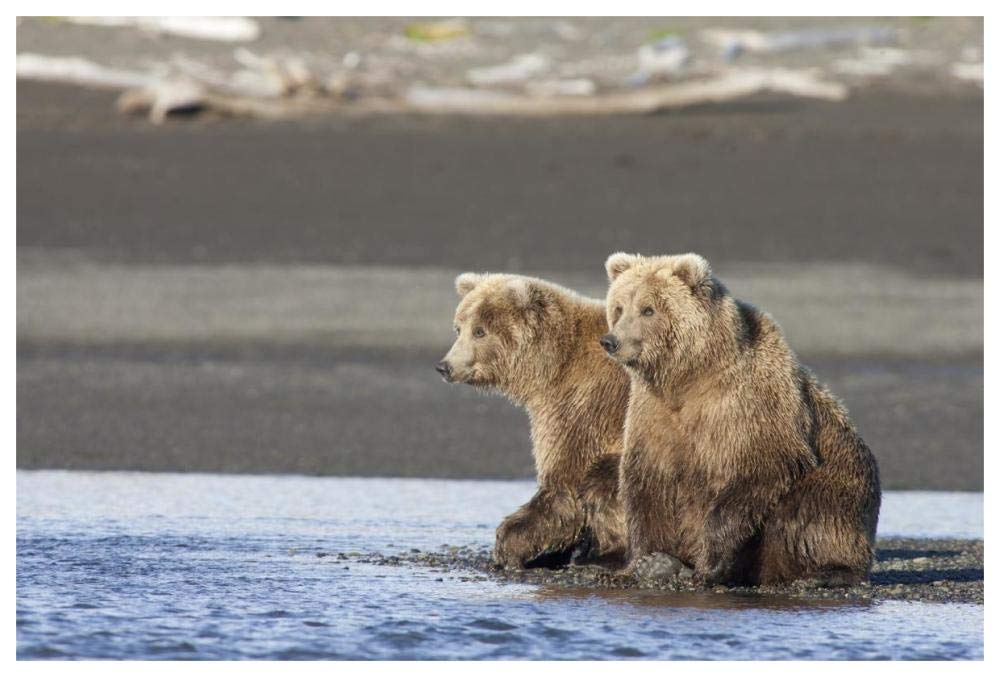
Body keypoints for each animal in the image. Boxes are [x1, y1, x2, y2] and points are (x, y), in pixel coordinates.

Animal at [437, 272, 630, 569]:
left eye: (479, 331)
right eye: (459, 328)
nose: (446, 366)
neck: (552, 366)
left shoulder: (583, 404)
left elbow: (566, 482)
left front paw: (510, 544)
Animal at [600, 252, 881, 586]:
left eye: (648, 309)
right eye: (619, 307)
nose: (611, 341)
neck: (687, 378)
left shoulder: (748, 406)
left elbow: (756, 472)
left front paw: (706, 566)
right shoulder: (652, 414)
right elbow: (647, 486)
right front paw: (643, 562)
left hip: (842, 481)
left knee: (807, 515)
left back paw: (825, 572)